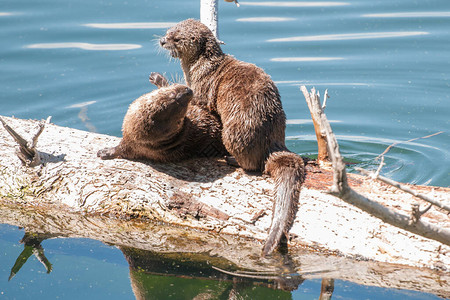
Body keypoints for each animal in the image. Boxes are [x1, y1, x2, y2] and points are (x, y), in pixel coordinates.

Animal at [160, 18, 304, 254]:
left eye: (177, 38)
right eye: (168, 30)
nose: (163, 41)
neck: (201, 68)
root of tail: (273, 143)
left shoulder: (201, 89)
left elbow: (199, 102)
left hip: (235, 132)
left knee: (252, 165)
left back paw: (230, 159)